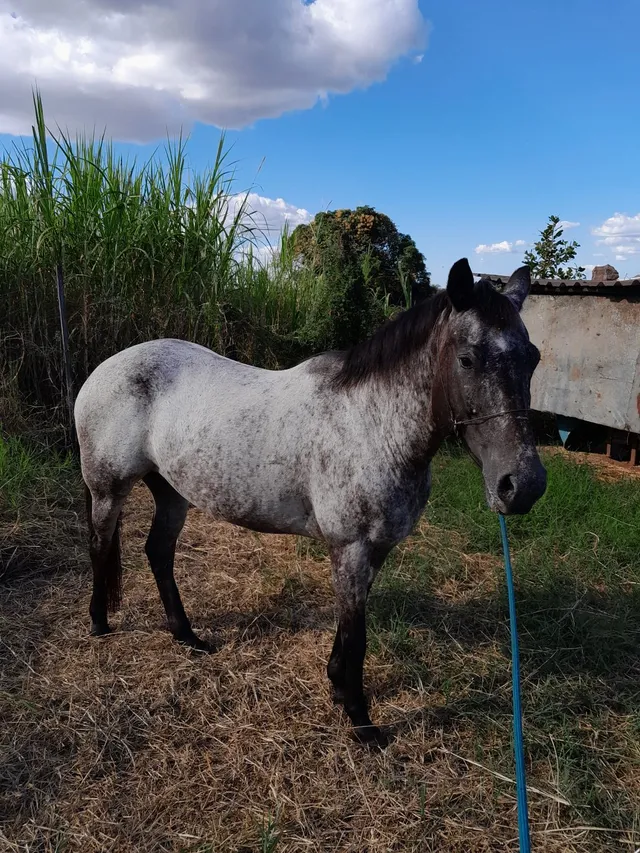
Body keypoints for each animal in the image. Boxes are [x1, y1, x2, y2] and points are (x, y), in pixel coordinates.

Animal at [75, 256, 544, 744]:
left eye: (533, 359)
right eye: (467, 359)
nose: (522, 486)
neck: (372, 423)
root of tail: (104, 370)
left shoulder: (373, 551)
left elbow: (350, 627)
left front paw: (338, 687)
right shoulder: (351, 548)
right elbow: (357, 636)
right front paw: (362, 721)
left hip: (171, 492)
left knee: (158, 553)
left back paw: (188, 636)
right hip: (108, 489)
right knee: (100, 546)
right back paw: (100, 624)